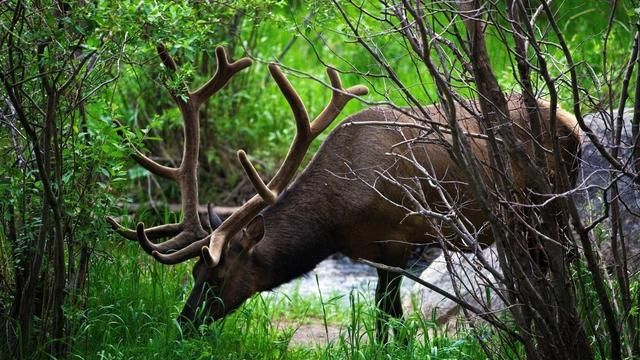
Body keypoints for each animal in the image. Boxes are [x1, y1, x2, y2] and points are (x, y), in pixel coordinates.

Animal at [109, 44, 580, 340]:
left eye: (218, 276)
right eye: (194, 274)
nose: (184, 323)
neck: (336, 220)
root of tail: (571, 121)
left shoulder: (398, 238)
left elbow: (388, 318)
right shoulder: (372, 251)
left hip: (548, 205)